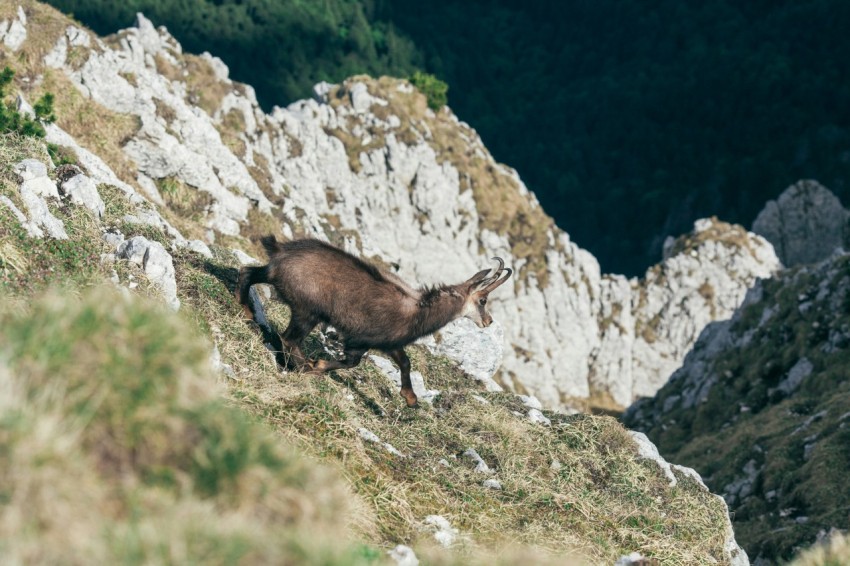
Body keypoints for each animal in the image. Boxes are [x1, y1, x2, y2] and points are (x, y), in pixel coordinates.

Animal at [236, 236, 512, 407]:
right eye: (483, 300)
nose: (488, 321)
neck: (419, 311)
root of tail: (282, 250)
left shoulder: (390, 343)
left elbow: (405, 363)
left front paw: (411, 399)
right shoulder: (362, 338)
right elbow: (352, 362)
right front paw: (317, 365)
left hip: (277, 279)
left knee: (248, 272)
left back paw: (247, 310)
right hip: (308, 311)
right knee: (289, 338)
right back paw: (300, 364)